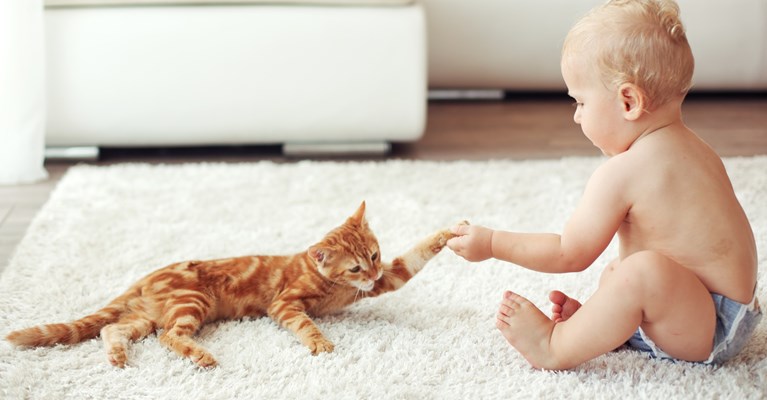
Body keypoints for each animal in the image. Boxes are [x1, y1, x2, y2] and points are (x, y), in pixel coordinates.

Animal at [4, 203, 462, 368]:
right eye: (354, 268)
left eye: (374, 256)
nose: (369, 274)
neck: (327, 281)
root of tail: (147, 277)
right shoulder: (285, 304)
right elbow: (306, 324)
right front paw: (319, 342)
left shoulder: (390, 277)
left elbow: (418, 254)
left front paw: (449, 234)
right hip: (190, 303)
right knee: (169, 337)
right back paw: (200, 355)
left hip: (143, 319)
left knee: (112, 329)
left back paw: (117, 357)